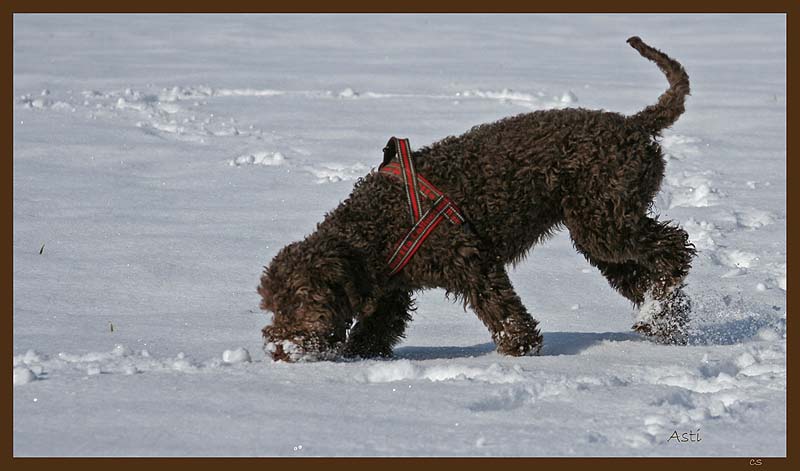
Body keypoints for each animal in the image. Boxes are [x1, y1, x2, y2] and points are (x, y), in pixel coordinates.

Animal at [260, 37, 692, 362]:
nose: (279, 349)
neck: (374, 229)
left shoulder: (470, 259)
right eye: (272, 304)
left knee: (673, 249)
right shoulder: (391, 291)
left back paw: (662, 304)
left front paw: (521, 347)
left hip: (606, 222)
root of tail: (634, 125)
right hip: (599, 230)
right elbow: (376, 328)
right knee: (645, 273)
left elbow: (500, 308)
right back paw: (663, 321)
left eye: (303, 300)